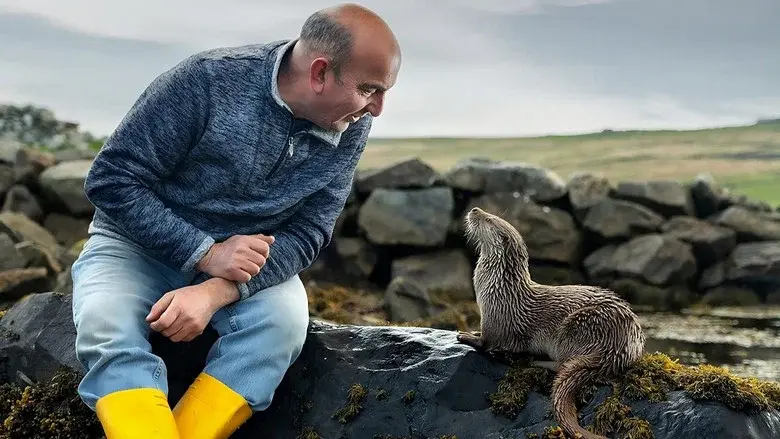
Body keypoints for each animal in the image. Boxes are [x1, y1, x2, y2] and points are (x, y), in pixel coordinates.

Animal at [457, 207, 646, 439]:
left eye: (489, 219)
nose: (475, 210)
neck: (499, 287)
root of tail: (620, 347)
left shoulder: (496, 317)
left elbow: (487, 342)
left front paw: (466, 336)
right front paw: (472, 332)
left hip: (576, 328)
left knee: (562, 363)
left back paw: (537, 361)